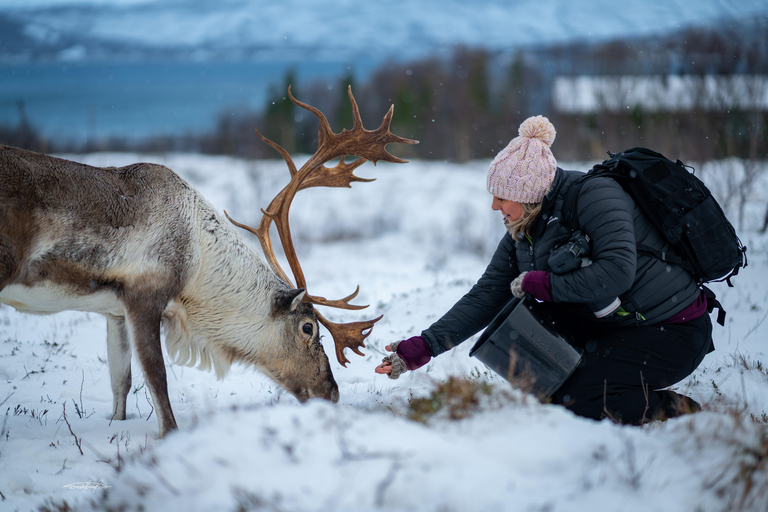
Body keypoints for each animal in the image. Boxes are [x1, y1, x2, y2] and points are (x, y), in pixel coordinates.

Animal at [0, 86, 417, 437]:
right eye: (308, 329)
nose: (331, 393)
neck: (197, 267)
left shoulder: (112, 311)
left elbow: (121, 382)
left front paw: (116, 427)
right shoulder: (144, 298)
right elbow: (158, 382)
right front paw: (169, 437)